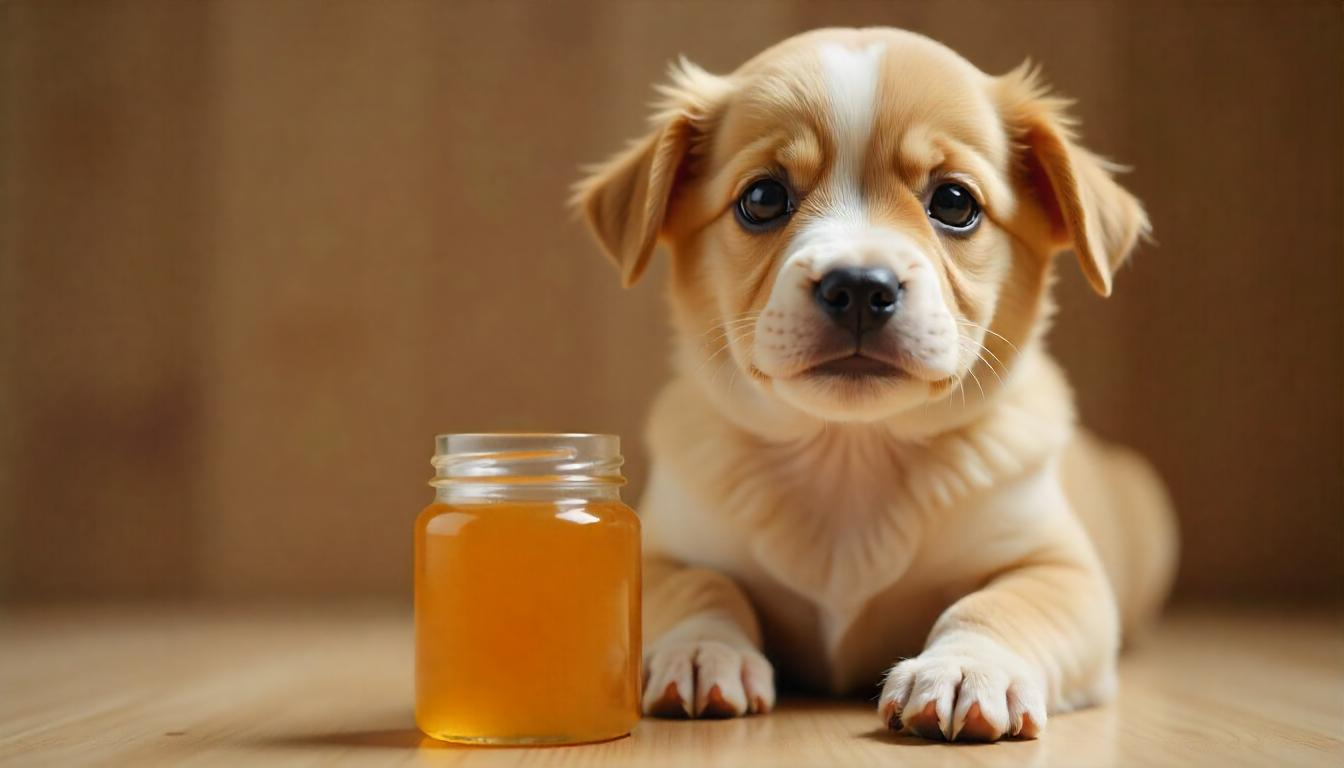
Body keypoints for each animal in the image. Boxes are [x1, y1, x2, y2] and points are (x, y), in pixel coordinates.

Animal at [569, 27, 1177, 742]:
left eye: (954, 203)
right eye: (762, 198)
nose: (859, 285)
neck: (849, 454)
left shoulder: (1061, 569)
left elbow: (999, 604)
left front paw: (967, 668)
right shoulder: (665, 553)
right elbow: (700, 587)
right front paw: (701, 649)